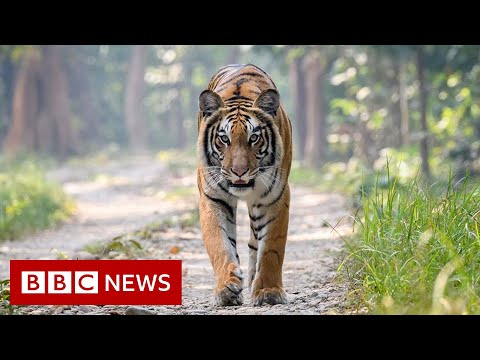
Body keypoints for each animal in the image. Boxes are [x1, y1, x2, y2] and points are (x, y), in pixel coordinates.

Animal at [196, 64, 292, 306]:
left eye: (254, 138)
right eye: (224, 139)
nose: (239, 172)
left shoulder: (275, 198)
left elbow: (271, 249)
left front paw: (269, 291)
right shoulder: (213, 198)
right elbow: (220, 244)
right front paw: (226, 289)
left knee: (255, 242)